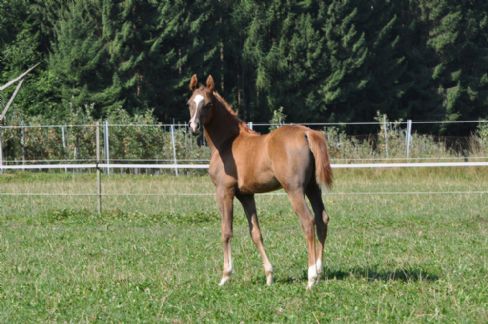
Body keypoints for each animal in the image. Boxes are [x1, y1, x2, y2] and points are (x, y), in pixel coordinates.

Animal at [187, 74, 332, 288]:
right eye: (190, 103)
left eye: (208, 104)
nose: (194, 127)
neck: (227, 143)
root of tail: (307, 133)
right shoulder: (246, 195)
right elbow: (255, 232)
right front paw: (269, 275)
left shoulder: (224, 191)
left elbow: (226, 231)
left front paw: (225, 276)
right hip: (313, 188)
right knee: (322, 219)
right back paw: (320, 272)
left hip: (294, 189)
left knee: (308, 221)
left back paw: (311, 277)